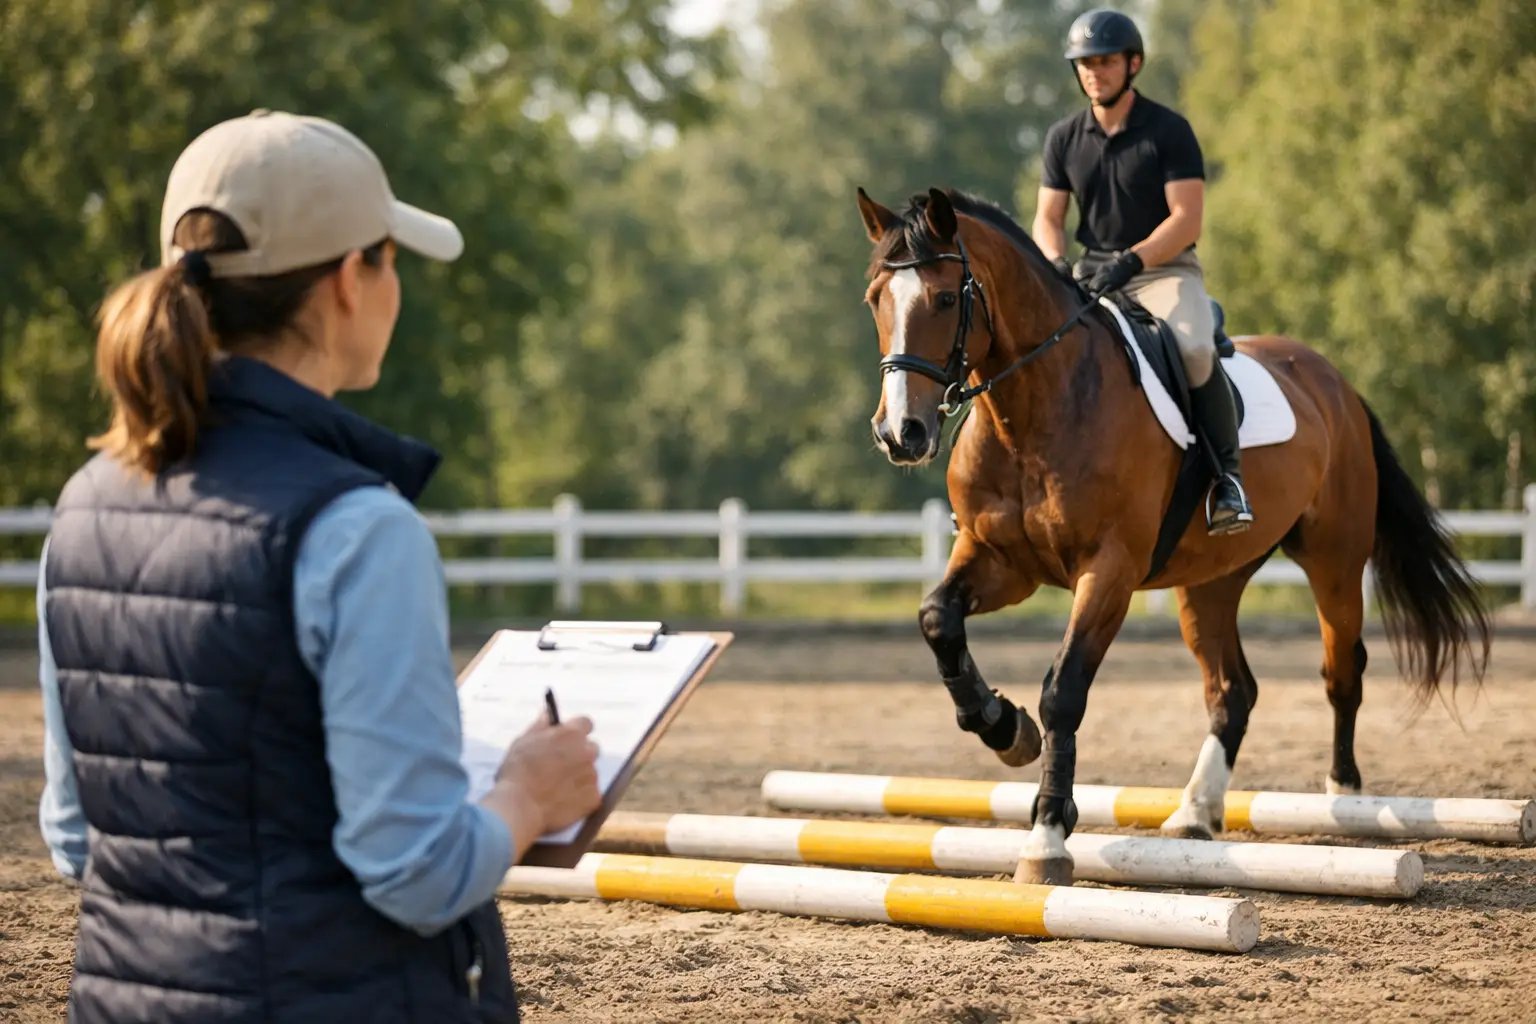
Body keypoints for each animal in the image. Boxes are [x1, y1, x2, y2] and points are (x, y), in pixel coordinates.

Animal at [855, 185, 1493, 885]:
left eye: (945, 299)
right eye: (875, 299)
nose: (901, 433)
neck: (1033, 408)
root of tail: (1334, 381)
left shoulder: (1108, 571)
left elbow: (1063, 692)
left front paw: (1046, 839)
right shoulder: (1001, 561)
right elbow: (937, 619)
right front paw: (1002, 727)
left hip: (1335, 559)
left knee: (1341, 669)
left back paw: (1344, 800)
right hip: (1212, 580)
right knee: (1233, 690)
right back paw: (1195, 812)